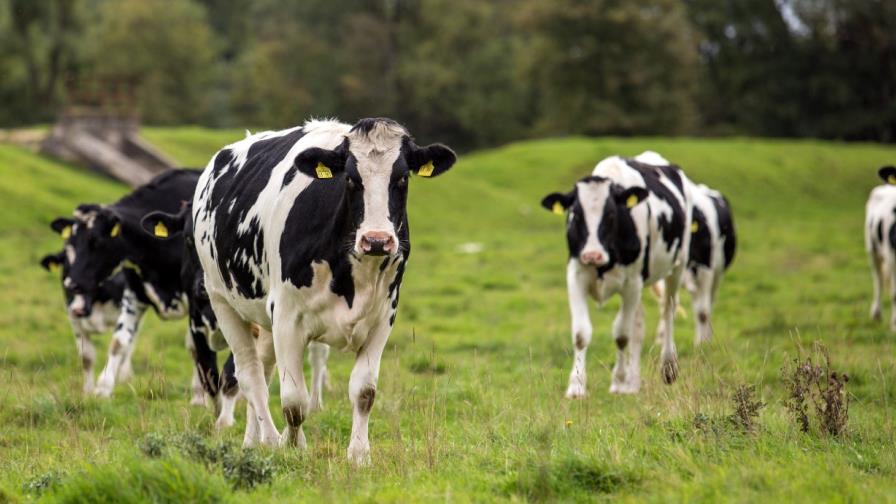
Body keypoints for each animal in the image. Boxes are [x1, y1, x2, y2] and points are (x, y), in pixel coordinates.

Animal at [40, 249, 127, 394]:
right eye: (66, 268)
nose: (78, 309)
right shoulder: (75, 321)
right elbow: (86, 357)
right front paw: (88, 391)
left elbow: (119, 346)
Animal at [53, 169, 238, 427]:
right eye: (70, 243)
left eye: (96, 242)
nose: (72, 283)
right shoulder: (134, 295)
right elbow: (119, 341)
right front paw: (103, 389)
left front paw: (206, 403)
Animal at [192, 118, 456, 465]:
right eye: (351, 178)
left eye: (401, 177)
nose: (376, 240)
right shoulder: (287, 318)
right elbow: (294, 401)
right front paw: (293, 447)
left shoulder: (383, 316)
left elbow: (364, 392)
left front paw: (359, 455)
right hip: (222, 301)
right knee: (250, 376)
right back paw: (269, 439)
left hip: (262, 318)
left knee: (262, 369)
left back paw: (253, 440)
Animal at [541, 152, 692, 397]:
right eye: (576, 215)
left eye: (611, 215)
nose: (592, 255)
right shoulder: (576, 275)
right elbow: (581, 333)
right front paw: (576, 387)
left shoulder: (631, 283)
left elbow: (621, 334)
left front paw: (619, 381)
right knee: (639, 325)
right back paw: (634, 382)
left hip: (677, 265)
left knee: (668, 310)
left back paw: (668, 367)